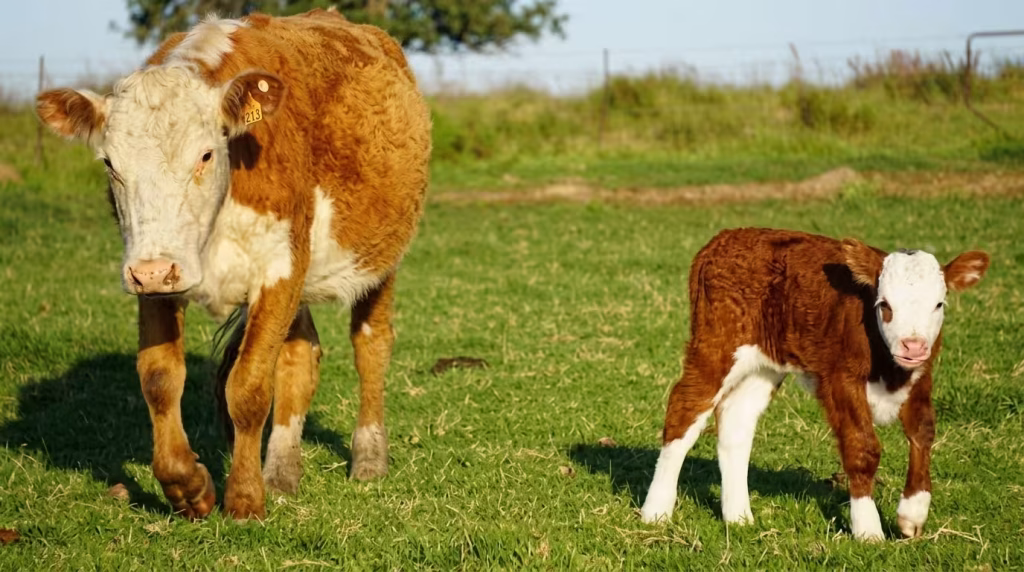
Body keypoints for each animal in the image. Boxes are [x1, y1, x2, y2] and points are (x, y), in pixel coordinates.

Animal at [35, 9, 431, 520]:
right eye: (109, 164)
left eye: (205, 154)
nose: (152, 271)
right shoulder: (158, 270)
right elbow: (160, 379)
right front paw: (189, 487)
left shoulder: (278, 269)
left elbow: (247, 388)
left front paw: (243, 499)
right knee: (299, 356)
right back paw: (280, 472)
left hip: (380, 261)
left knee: (371, 344)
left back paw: (368, 457)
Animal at [640, 228, 989, 540]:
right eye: (885, 304)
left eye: (939, 304)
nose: (912, 345)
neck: (889, 373)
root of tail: (724, 239)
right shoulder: (841, 380)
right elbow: (862, 448)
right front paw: (868, 530)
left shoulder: (921, 375)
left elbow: (922, 432)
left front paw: (912, 513)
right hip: (716, 346)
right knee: (685, 410)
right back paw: (656, 512)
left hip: (762, 365)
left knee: (736, 424)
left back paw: (738, 517)